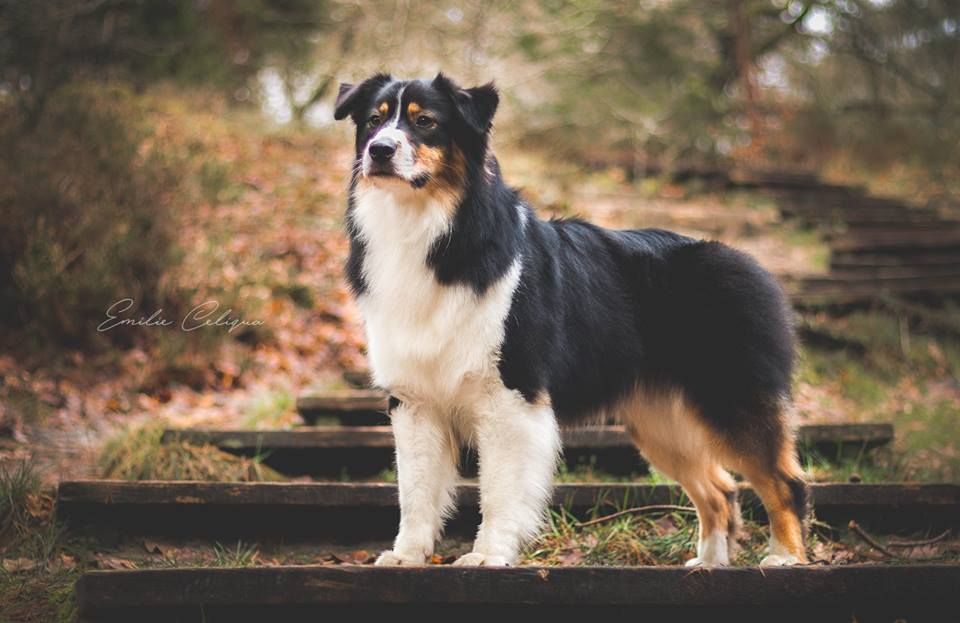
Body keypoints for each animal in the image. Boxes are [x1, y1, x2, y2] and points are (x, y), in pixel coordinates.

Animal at [334, 74, 808, 572]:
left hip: (732, 396)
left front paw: (488, 554)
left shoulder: (508, 395)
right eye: (374, 120)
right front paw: (407, 555)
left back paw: (786, 558)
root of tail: (744, 260)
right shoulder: (415, 399)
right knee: (719, 488)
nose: (379, 151)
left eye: (425, 121)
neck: (429, 226)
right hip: (660, 421)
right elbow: (415, 489)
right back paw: (711, 564)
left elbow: (497, 489)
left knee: (783, 481)